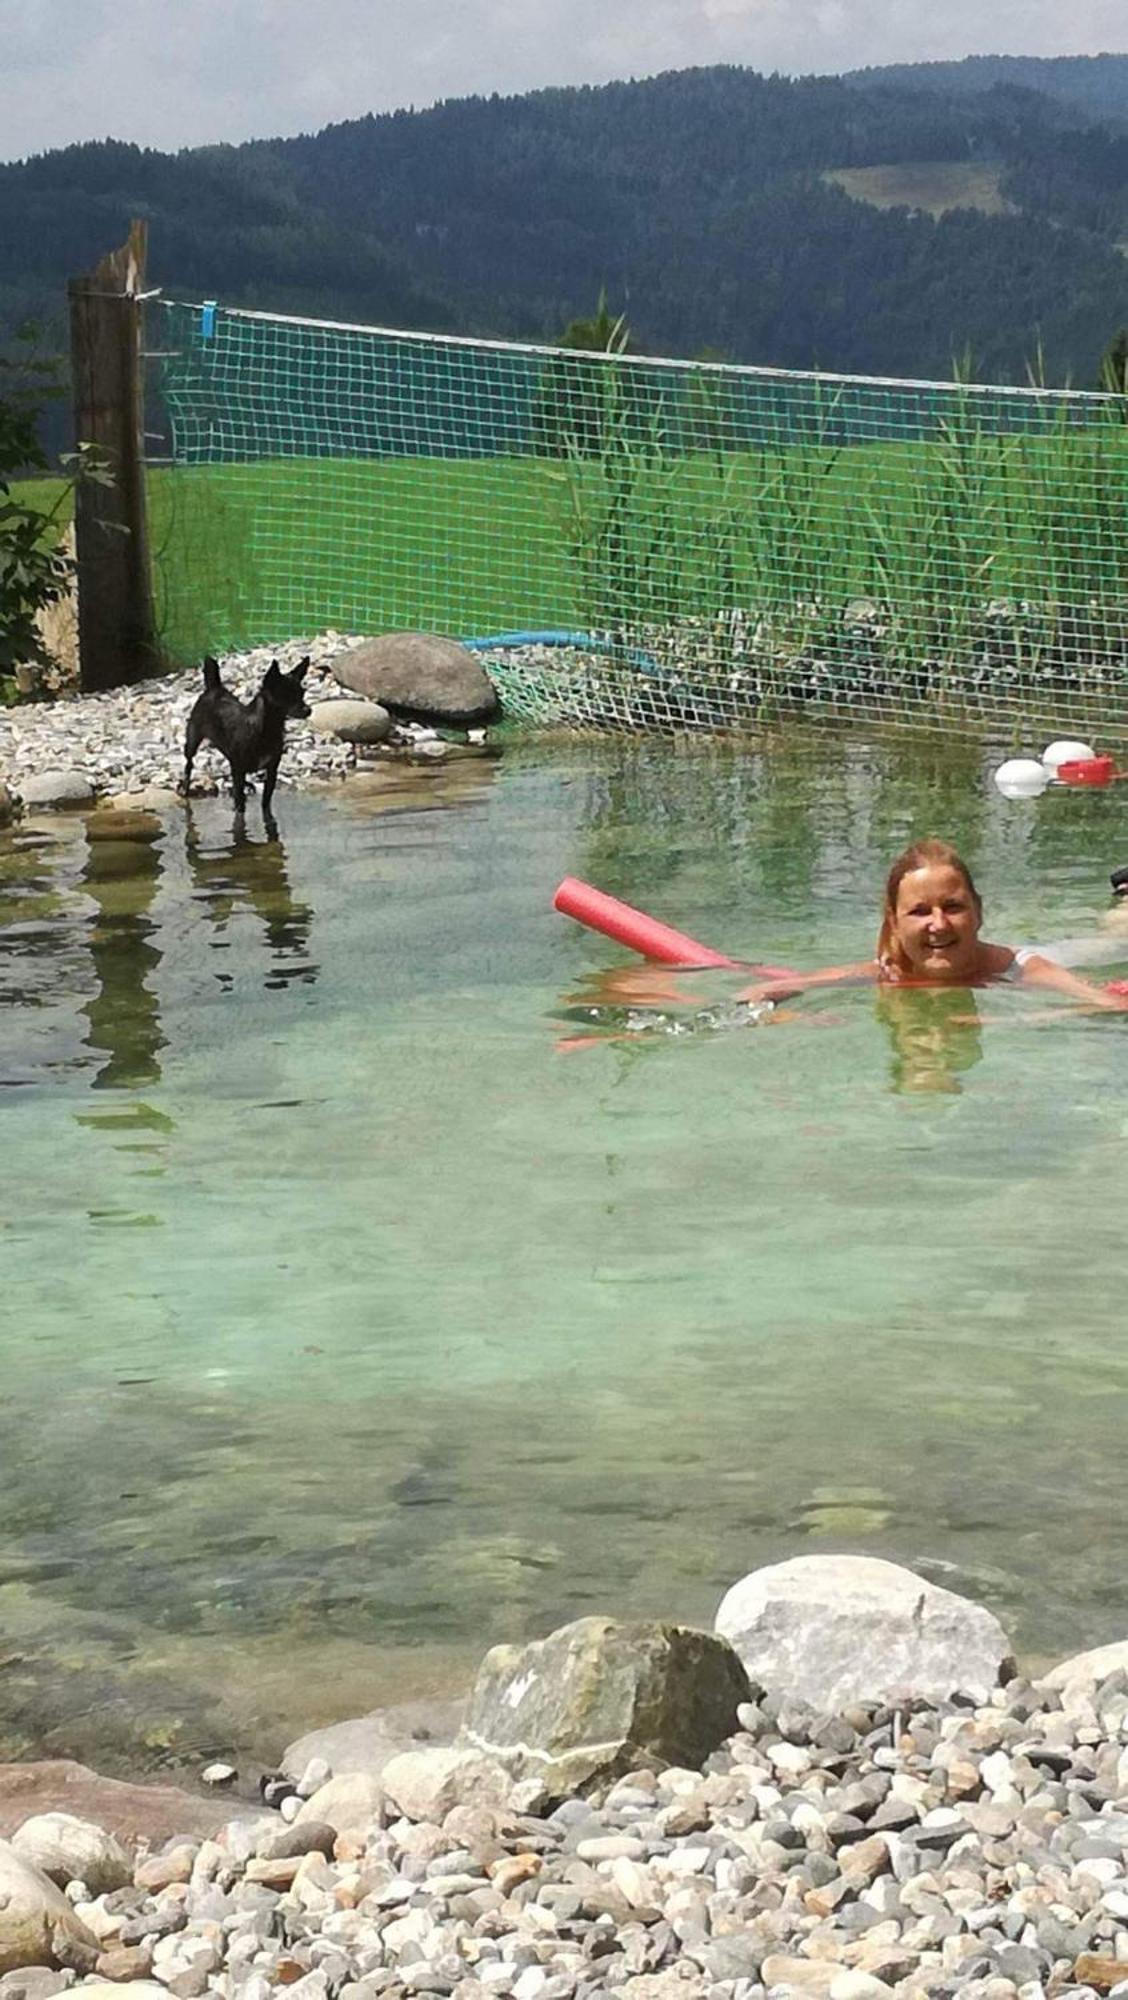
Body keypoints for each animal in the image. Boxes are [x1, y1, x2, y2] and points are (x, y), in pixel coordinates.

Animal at [183, 652, 310, 816]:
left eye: (302, 693)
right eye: (286, 695)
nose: (308, 710)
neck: (266, 728)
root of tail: (214, 688)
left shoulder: (271, 771)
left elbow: (265, 802)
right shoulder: (239, 770)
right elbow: (240, 804)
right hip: (192, 740)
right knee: (188, 764)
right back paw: (185, 787)